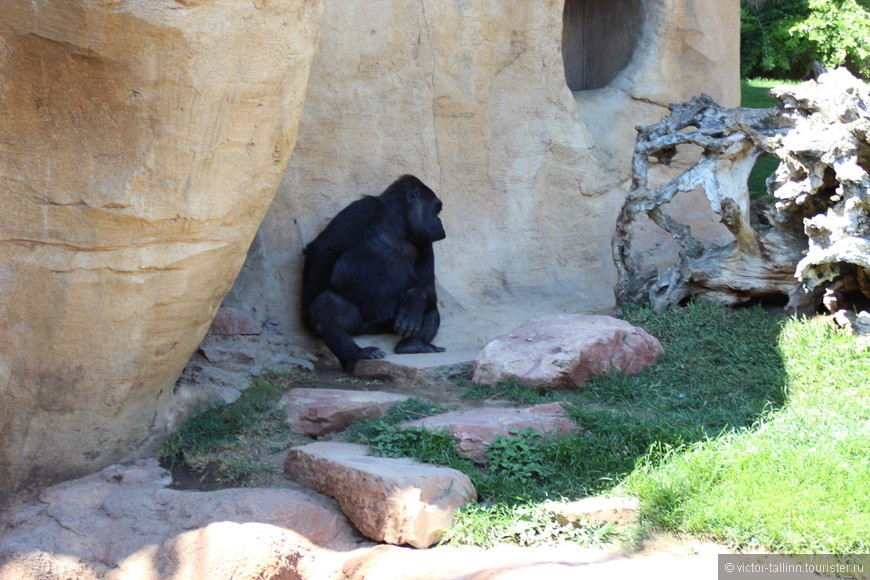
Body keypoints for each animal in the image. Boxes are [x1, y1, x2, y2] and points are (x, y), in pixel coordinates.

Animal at [302, 174, 450, 372]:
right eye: (436, 209)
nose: (440, 223)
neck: (397, 220)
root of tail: (370, 329)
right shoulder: (365, 207)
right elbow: (323, 249)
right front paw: (306, 315)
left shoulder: (425, 240)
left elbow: (425, 286)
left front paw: (414, 301)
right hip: (357, 325)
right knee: (326, 305)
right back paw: (354, 355)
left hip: (388, 323)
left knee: (429, 309)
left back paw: (414, 344)